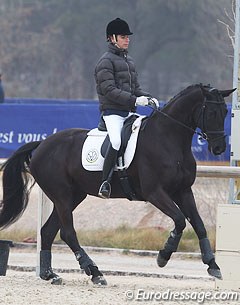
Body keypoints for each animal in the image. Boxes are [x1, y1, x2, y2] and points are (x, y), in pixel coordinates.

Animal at [0, 83, 234, 282]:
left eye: (225, 112)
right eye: (211, 113)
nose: (219, 148)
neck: (168, 139)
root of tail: (41, 144)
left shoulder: (183, 191)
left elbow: (199, 225)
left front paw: (213, 265)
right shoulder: (155, 193)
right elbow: (179, 220)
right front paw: (163, 255)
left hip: (73, 196)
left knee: (49, 231)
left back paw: (49, 274)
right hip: (62, 196)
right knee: (68, 233)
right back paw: (94, 272)